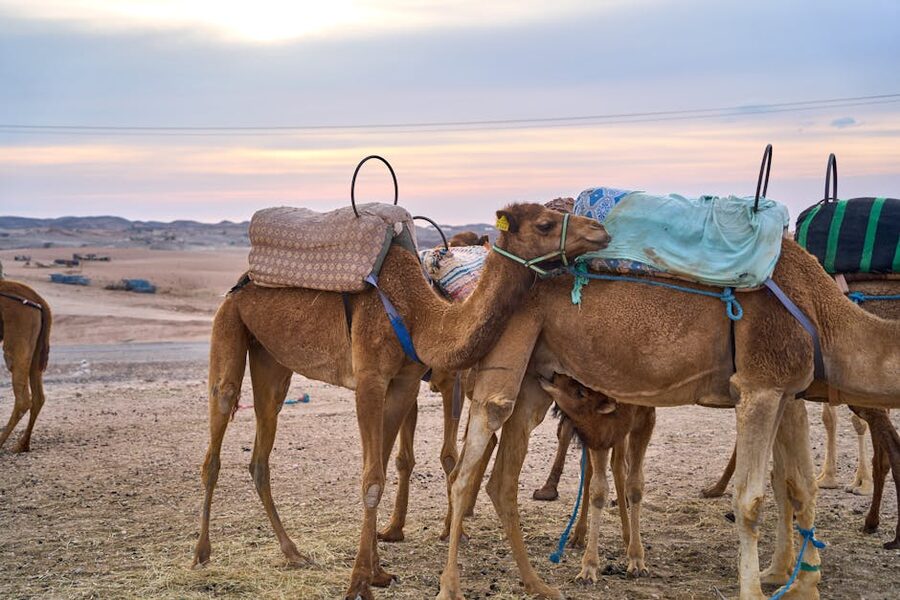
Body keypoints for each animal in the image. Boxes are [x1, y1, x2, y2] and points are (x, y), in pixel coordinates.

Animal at [0, 280, 51, 453]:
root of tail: (39, 300)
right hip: (36, 348)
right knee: (38, 397)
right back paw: (23, 444)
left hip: (18, 335)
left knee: (23, 400)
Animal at [191, 203, 609, 600]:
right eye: (544, 223)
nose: (600, 230)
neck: (418, 313)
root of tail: (243, 281)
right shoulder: (370, 379)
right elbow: (372, 478)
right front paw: (359, 582)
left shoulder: (405, 382)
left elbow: (384, 463)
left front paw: (377, 570)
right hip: (229, 326)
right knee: (217, 430)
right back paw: (201, 554)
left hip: (272, 361)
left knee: (261, 452)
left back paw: (292, 552)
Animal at [537, 373, 656, 580]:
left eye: (581, 391)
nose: (554, 375)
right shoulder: (597, 425)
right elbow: (598, 488)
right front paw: (589, 566)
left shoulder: (645, 417)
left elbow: (634, 484)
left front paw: (636, 559)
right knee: (590, 468)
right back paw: (577, 533)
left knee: (618, 466)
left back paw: (626, 535)